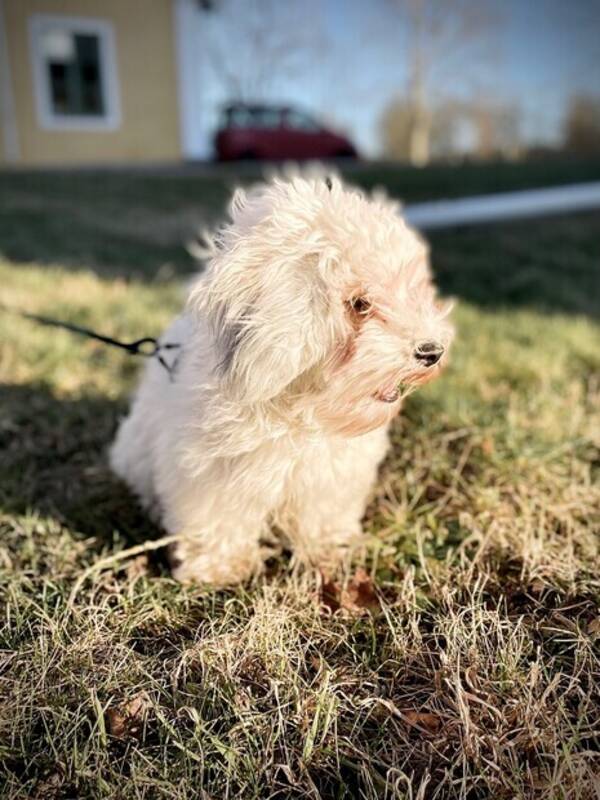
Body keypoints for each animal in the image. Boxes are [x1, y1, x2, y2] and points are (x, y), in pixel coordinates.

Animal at [110, 175, 452, 584]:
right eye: (360, 303)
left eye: (411, 291)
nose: (432, 351)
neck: (297, 408)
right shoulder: (209, 472)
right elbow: (218, 519)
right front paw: (219, 567)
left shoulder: (329, 476)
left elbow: (321, 515)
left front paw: (327, 551)